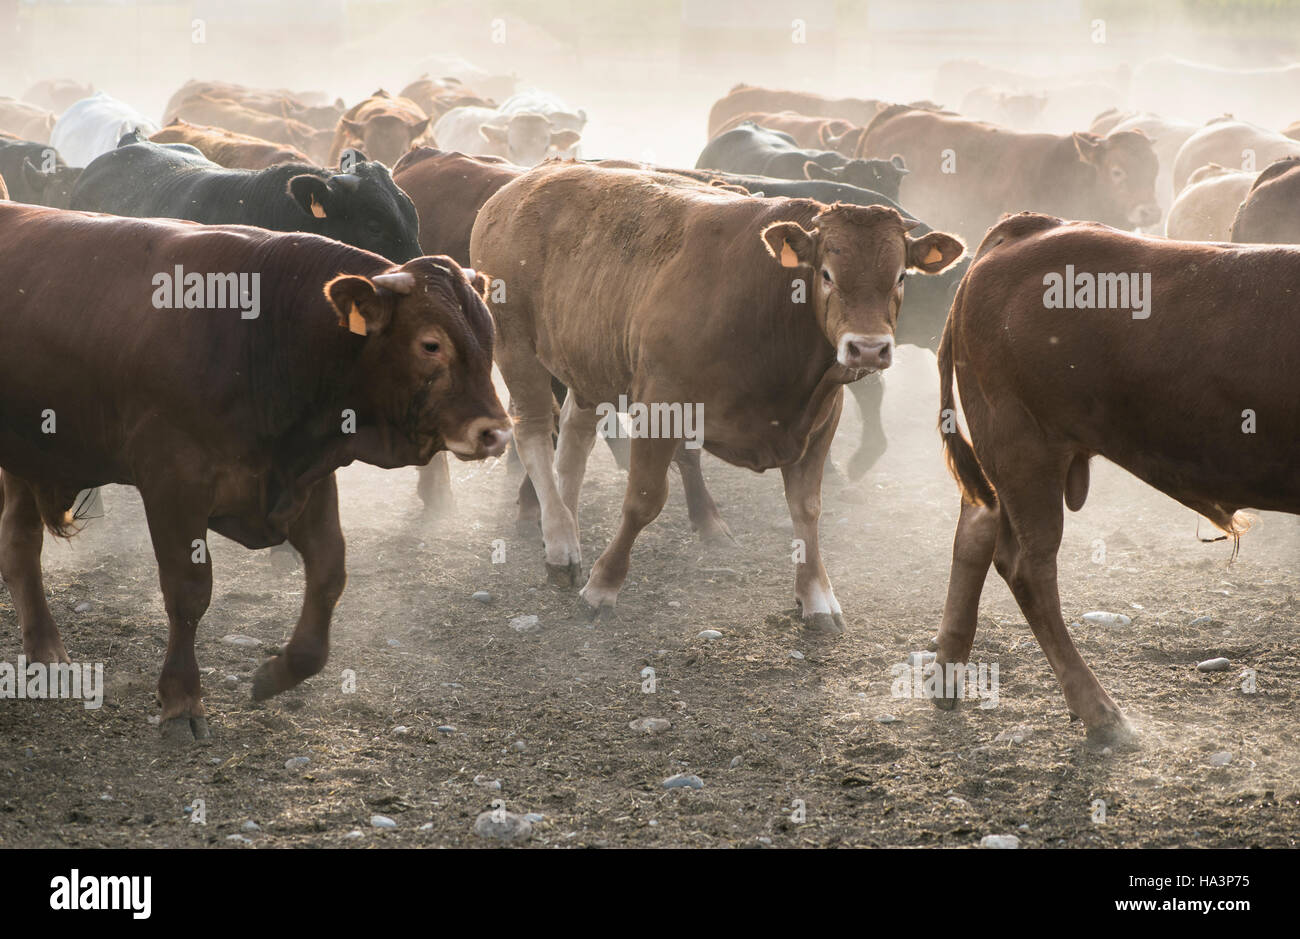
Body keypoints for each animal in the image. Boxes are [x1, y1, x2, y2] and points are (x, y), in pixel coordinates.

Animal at [0, 202, 510, 740]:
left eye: (489, 338)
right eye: (431, 345)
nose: (495, 433)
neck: (266, 334)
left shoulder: (303, 477)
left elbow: (329, 572)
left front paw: (281, 671)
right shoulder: (173, 482)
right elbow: (188, 592)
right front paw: (181, 701)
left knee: (19, 544)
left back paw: (46, 653)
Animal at [471, 163, 963, 628]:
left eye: (900, 277)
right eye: (826, 273)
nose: (868, 348)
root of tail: (526, 182)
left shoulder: (822, 419)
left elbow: (807, 508)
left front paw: (817, 597)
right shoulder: (660, 407)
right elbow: (644, 499)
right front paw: (602, 586)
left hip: (589, 360)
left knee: (575, 436)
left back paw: (567, 529)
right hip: (516, 344)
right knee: (535, 429)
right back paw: (559, 545)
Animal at [936, 211, 1300, 745]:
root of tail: (1030, 228)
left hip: (1002, 460)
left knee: (974, 529)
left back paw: (946, 678)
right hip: (1024, 448)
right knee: (1027, 567)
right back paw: (1101, 712)